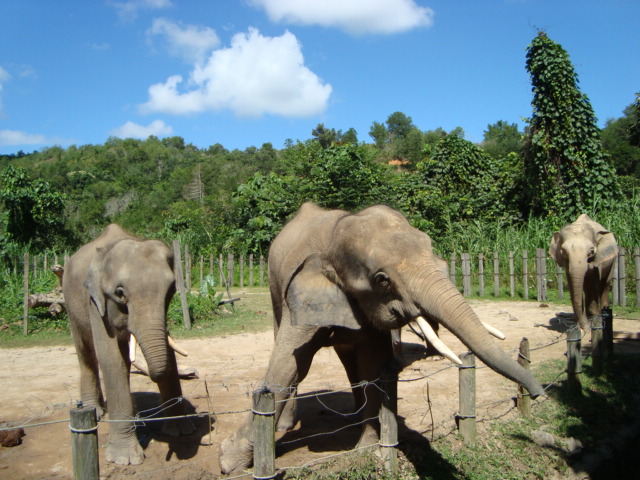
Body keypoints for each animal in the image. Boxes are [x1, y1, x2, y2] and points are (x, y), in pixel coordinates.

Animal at [65, 225, 196, 464]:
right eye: (120, 294)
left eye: (171, 290)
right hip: (71, 303)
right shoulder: (95, 301)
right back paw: (95, 411)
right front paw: (124, 459)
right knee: (86, 353)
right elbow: (110, 358)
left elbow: (167, 351)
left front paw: (182, 431)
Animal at [218, 202, 544, 472]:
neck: (337, 235)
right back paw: (286, 424)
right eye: (382, 280)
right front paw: (228, 463)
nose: (539, 393)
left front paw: (367, 449)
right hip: (274, 288)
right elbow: (289, 363)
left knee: (351, 362)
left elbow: (373, 364)